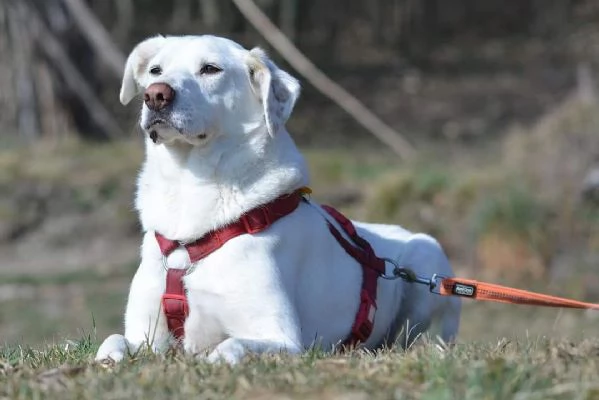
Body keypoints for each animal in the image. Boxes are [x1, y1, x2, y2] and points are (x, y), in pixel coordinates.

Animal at [96, 35, 462, 366]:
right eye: (155, 70)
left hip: (426, 257)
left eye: (210, 69)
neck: (191, 191)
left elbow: (231, 345)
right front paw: (110, 359)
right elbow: (112, 342)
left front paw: (213, 359)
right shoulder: (146, 334)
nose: (156, 95)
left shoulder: (281, 337)